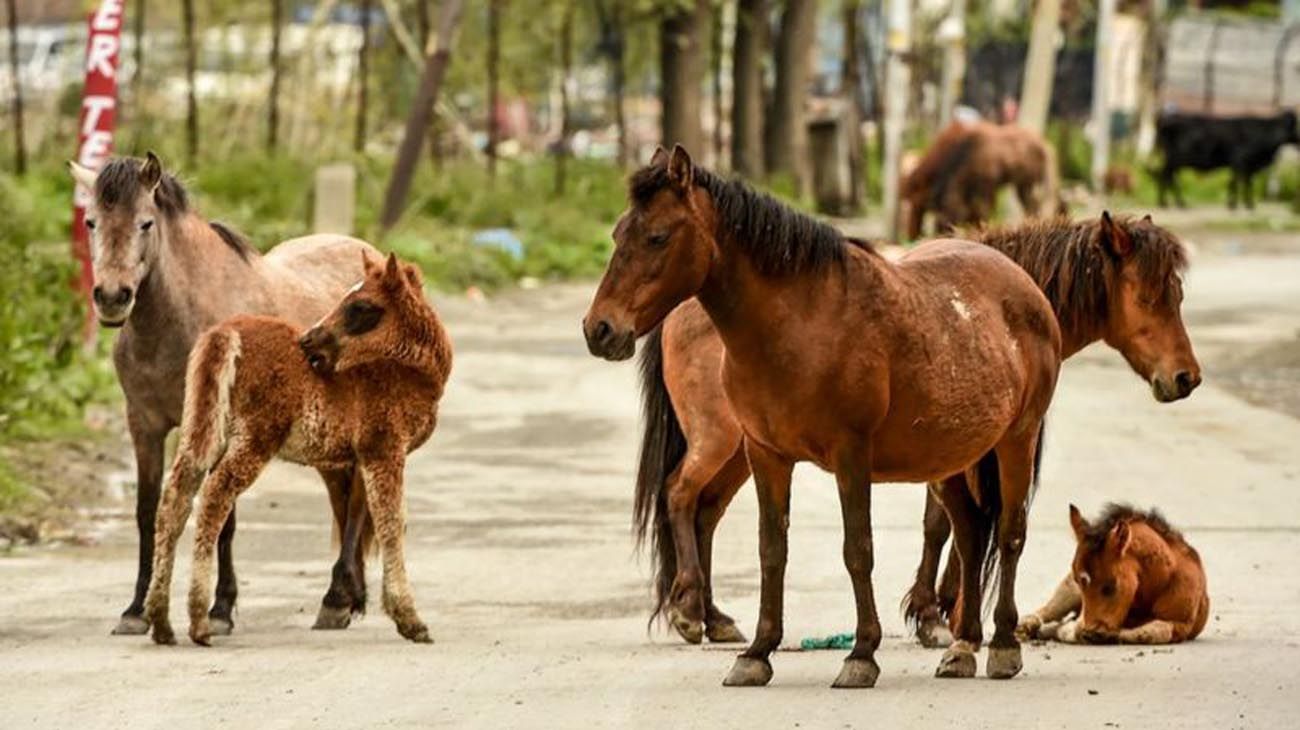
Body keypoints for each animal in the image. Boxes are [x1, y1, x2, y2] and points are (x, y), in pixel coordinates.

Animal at [143, 251, 452, 641]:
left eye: (362, 306)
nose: (309, 342)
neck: (403, 370)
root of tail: (226, 331)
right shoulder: (383, 449)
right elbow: (391, 523)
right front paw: (409, 620)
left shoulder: (361, 456)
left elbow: (368, 517)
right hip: (256, 435)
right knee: (215, 495)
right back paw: (200, 622)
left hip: (204, 425)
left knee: (175, 498)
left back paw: (161, 622)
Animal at [585, 144, 1060, 685]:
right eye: (618, 233)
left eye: (658, 236)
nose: (600, 329)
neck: (802, 320)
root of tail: (1024, 287)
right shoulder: (765, 454)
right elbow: (772, 551)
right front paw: (757, 652)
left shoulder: (851, 454)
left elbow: (858, 549)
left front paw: (861, 653)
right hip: (954, 456)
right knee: (971, 534)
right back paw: (961, 648)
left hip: (1016, 439)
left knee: (1010, 533)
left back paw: (1002, 645)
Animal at [899, 121, 1060, 239]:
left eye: (945, 220)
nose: (913, 235)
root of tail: (1045, 145)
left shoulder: (986, 187)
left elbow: (983, 212)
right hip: (1024, 185)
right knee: (1034, 205)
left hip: (1025, 183)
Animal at [1013, 503, 1206, 644]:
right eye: (1078, 580)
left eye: (1110, 587)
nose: (1089, 632)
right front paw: (1062, 630)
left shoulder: (1182, 624)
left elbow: (1152, 632)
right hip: (1068, 592)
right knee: (1048, 610)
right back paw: (1025, 627)